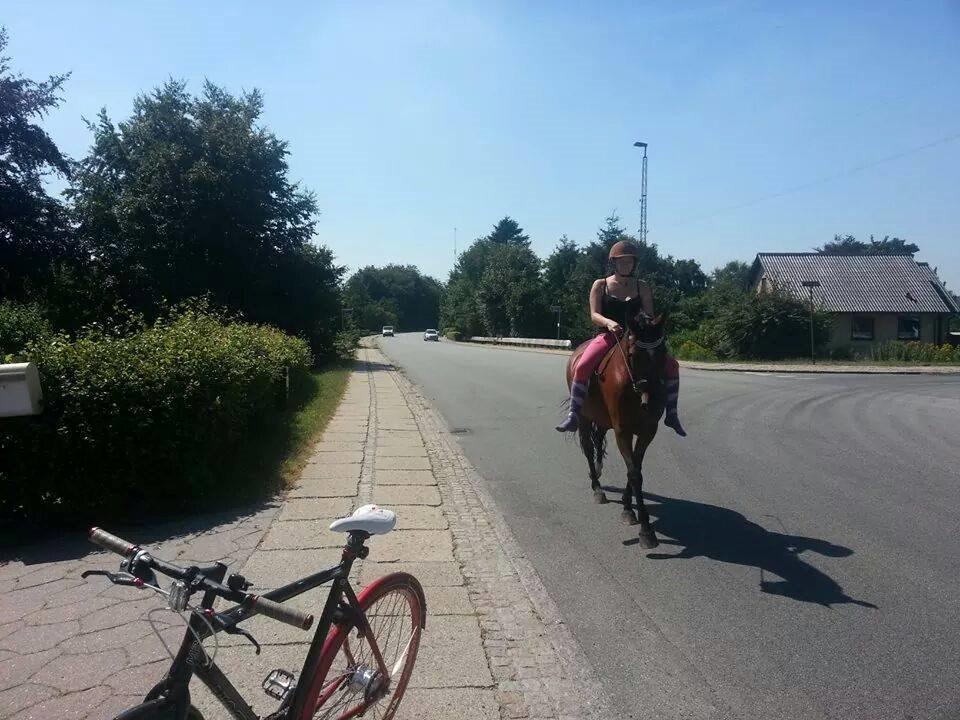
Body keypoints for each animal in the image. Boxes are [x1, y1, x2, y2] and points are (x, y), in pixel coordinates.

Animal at [564, 312, 668, 548]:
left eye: (663, 352)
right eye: (634, 354)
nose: (653, 399)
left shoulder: (648, 432)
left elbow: (635, 468)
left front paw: (628, 507)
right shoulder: (623, 431)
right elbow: (634, 473)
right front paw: (646, 529)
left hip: (601, 420)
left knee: (597, 441)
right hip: (584, 418)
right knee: (588, 448)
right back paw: (597, 488)